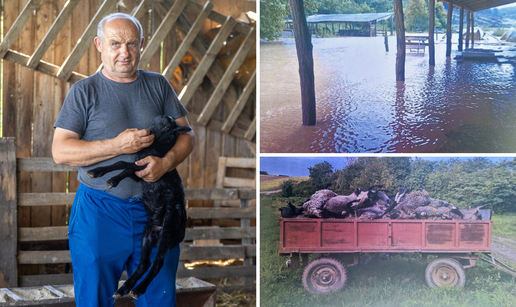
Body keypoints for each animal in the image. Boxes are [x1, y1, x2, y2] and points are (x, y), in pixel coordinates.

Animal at [86, 114, 191, 300]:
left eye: (167, 127)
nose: (164, 115)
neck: (156, 148)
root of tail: (180, 234)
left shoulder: (144, 168)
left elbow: (126, 170)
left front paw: (112, 181)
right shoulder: (138, 165)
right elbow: (120, 162)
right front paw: (96, 171)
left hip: (168, 230)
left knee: (157, 263)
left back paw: (138, 289)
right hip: (147, 234)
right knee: (144, 263)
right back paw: (123, 289)